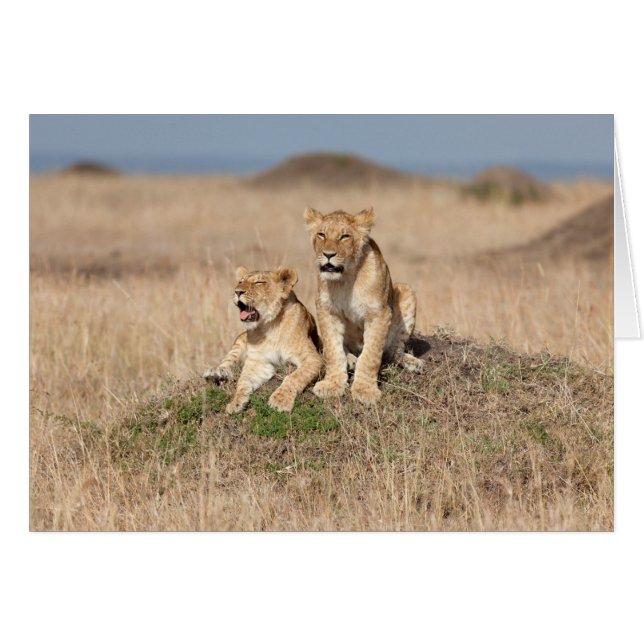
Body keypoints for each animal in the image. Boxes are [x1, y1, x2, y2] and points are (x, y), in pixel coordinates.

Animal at [203, 266, 323, 414]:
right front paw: (236, 402)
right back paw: (216, 373)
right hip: (240, 339)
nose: (237, 291)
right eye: (240, 281)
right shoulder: (258, 362)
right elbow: (243, 382)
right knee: (228, 361)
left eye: (258, 282)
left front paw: (280, 400)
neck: (270, 326)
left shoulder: (313, 358)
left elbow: (295, 377)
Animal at [303, 207, 423, 405]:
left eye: (345, 236)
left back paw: (413, 363)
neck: (345, 278)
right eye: (321, 234)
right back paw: (350, 359)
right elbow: (332, 350)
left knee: (393, 351)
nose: (328, 255)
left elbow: (371, 355)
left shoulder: (379, 314)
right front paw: (332, 385)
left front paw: (365, 390)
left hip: (406, 291)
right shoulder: (327, 311)